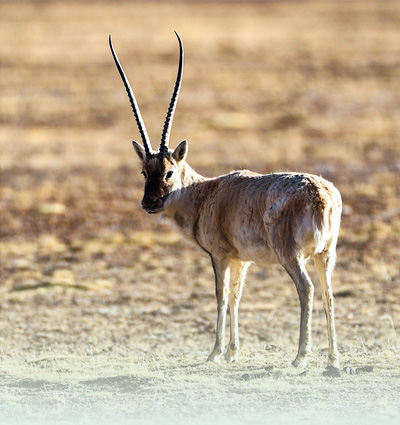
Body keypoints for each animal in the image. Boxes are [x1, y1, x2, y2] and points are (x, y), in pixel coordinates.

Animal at [108, 32, 340, 374]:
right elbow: (235, 297)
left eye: (169, 172)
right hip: (326, 254)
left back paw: (300, 356)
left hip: (291, 256)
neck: (207, 193)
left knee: (306, 288)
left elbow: (219, 296)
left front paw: (215, 352)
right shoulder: (241, 259)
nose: (149, 203)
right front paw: (232, 351)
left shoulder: (219, 256)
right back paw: (333, 360)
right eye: (143, 172)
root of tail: (321, 195)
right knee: (328, 292)